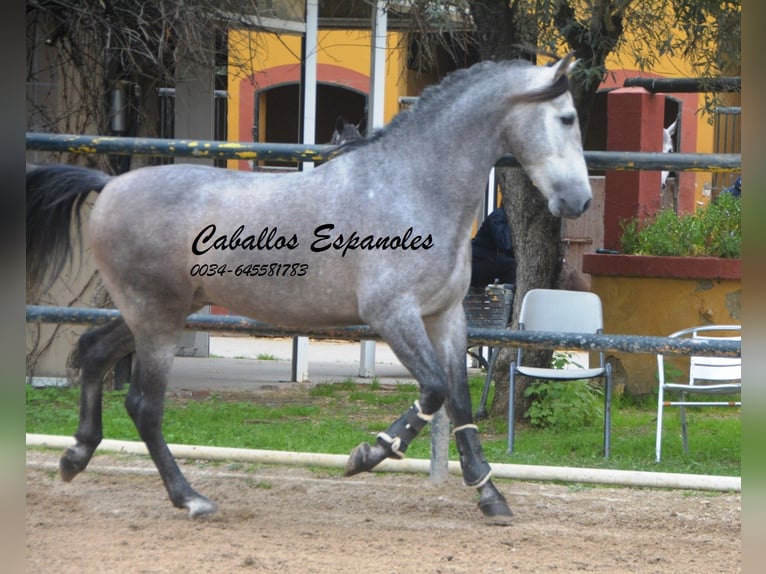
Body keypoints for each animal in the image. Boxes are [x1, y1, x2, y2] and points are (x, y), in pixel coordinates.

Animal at [27, 55, 592, 528]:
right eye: (567, 118)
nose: (579, 202)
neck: (410, 187)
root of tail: (109, 186)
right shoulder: (392, 314)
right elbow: (433, 390)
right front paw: (367, 455)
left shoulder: (446, 317)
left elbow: (459, 401)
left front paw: (491, 496)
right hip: (156, 317)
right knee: (144, 405)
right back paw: (191, 498)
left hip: (157, 312)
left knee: (92, 351)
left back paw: (75, 457)